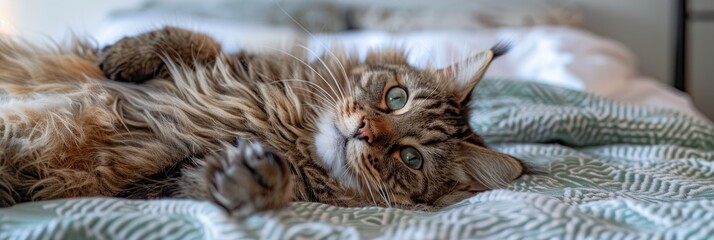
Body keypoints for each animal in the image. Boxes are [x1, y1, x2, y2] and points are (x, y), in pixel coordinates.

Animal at [0, 27, 524, 215]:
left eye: (411, 158)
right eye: (396, 98)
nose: (363, 131)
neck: (286, 130)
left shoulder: (137, 186)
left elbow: (200, 184)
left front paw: (255, 179)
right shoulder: (241, 65)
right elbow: (202, 41)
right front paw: (123, 55)